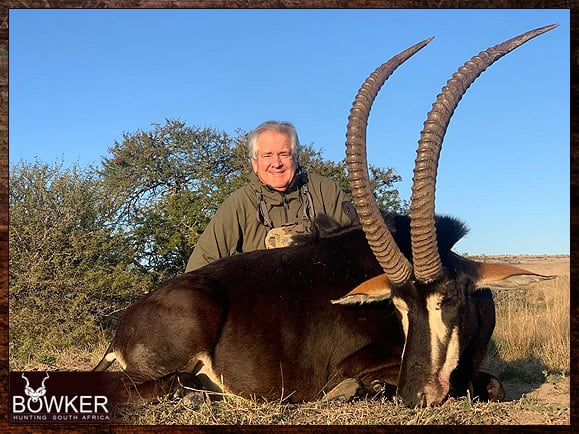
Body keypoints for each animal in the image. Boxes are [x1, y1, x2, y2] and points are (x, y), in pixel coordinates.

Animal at [95, 24, 556, 406]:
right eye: (399, 307)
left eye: (449, 300)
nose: (415, 395)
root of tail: (124, 326)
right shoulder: (355, 363)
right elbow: (446, 384)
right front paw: (355, 390)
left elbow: (492, 384)